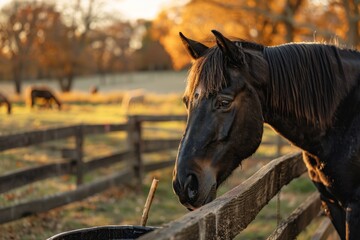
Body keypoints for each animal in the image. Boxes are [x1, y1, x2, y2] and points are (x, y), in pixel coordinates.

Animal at [172, 31, 360, 239]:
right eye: (186, 101)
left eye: (224, 102)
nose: (184, 184)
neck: (345, 119)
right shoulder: (331, 202)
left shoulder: (354, 207)